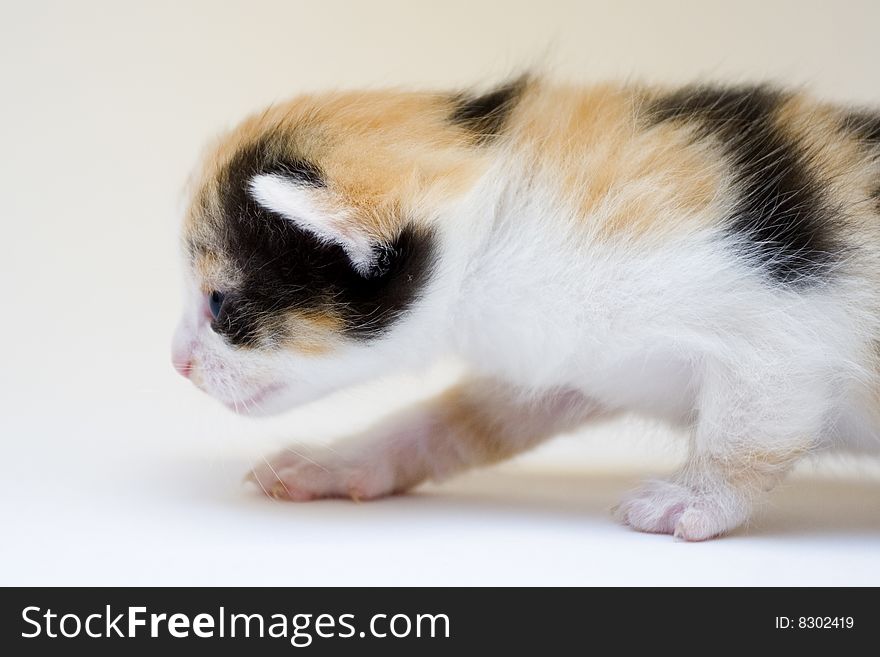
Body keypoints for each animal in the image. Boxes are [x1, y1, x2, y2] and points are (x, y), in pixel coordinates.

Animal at [174, 75, 880, 540]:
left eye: (220, 303)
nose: (177, 363)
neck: (494, 213)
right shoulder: (564, 354)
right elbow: (462, 419)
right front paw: (340, 461)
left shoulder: (780, 323)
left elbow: (750, 422)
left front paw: (692, 501)